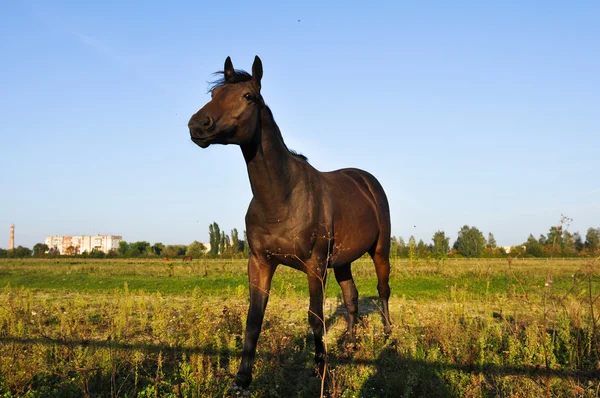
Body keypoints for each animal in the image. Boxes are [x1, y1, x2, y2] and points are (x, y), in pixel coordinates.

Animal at [189, 56, 394, 388]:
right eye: (213, 95)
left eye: (248, 96)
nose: (197, 125)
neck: (281, 200)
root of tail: (366, 180)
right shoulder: (260, 262)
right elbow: (254, 319)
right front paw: (242, 379)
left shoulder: (315, 266)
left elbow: (316, 318)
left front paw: (321, 371)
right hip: (342, 261)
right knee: (351, 297)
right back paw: (350, 342)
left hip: (379, 250)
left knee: (383, 288)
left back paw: (389, 335)